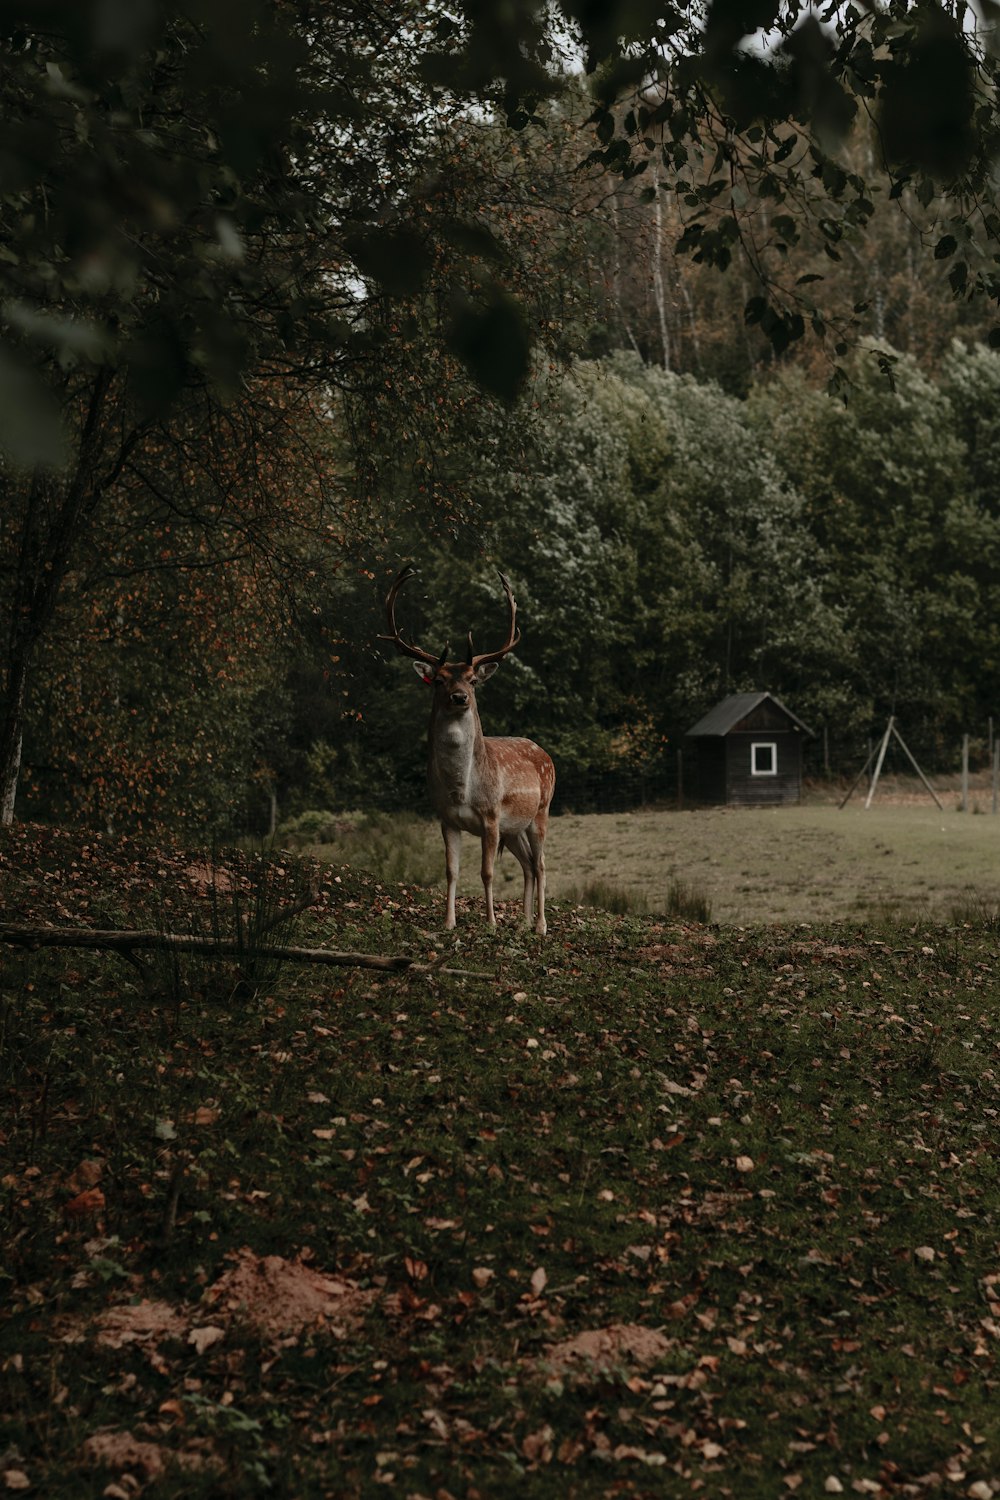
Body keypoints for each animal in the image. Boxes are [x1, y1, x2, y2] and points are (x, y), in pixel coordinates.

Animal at [380, 567, 554, 930]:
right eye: (439, 680)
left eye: (472, 680)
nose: (459, 697)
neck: (462, 789)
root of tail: (545, 754)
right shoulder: (445, 818)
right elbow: (451, 871)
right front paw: (448, 922)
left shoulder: (491, 816)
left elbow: (487, 873)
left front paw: (490, 922)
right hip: (514, 829)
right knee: (528, 865)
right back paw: (523, 923)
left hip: (541, 810)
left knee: (542, 863)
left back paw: (541, 926)